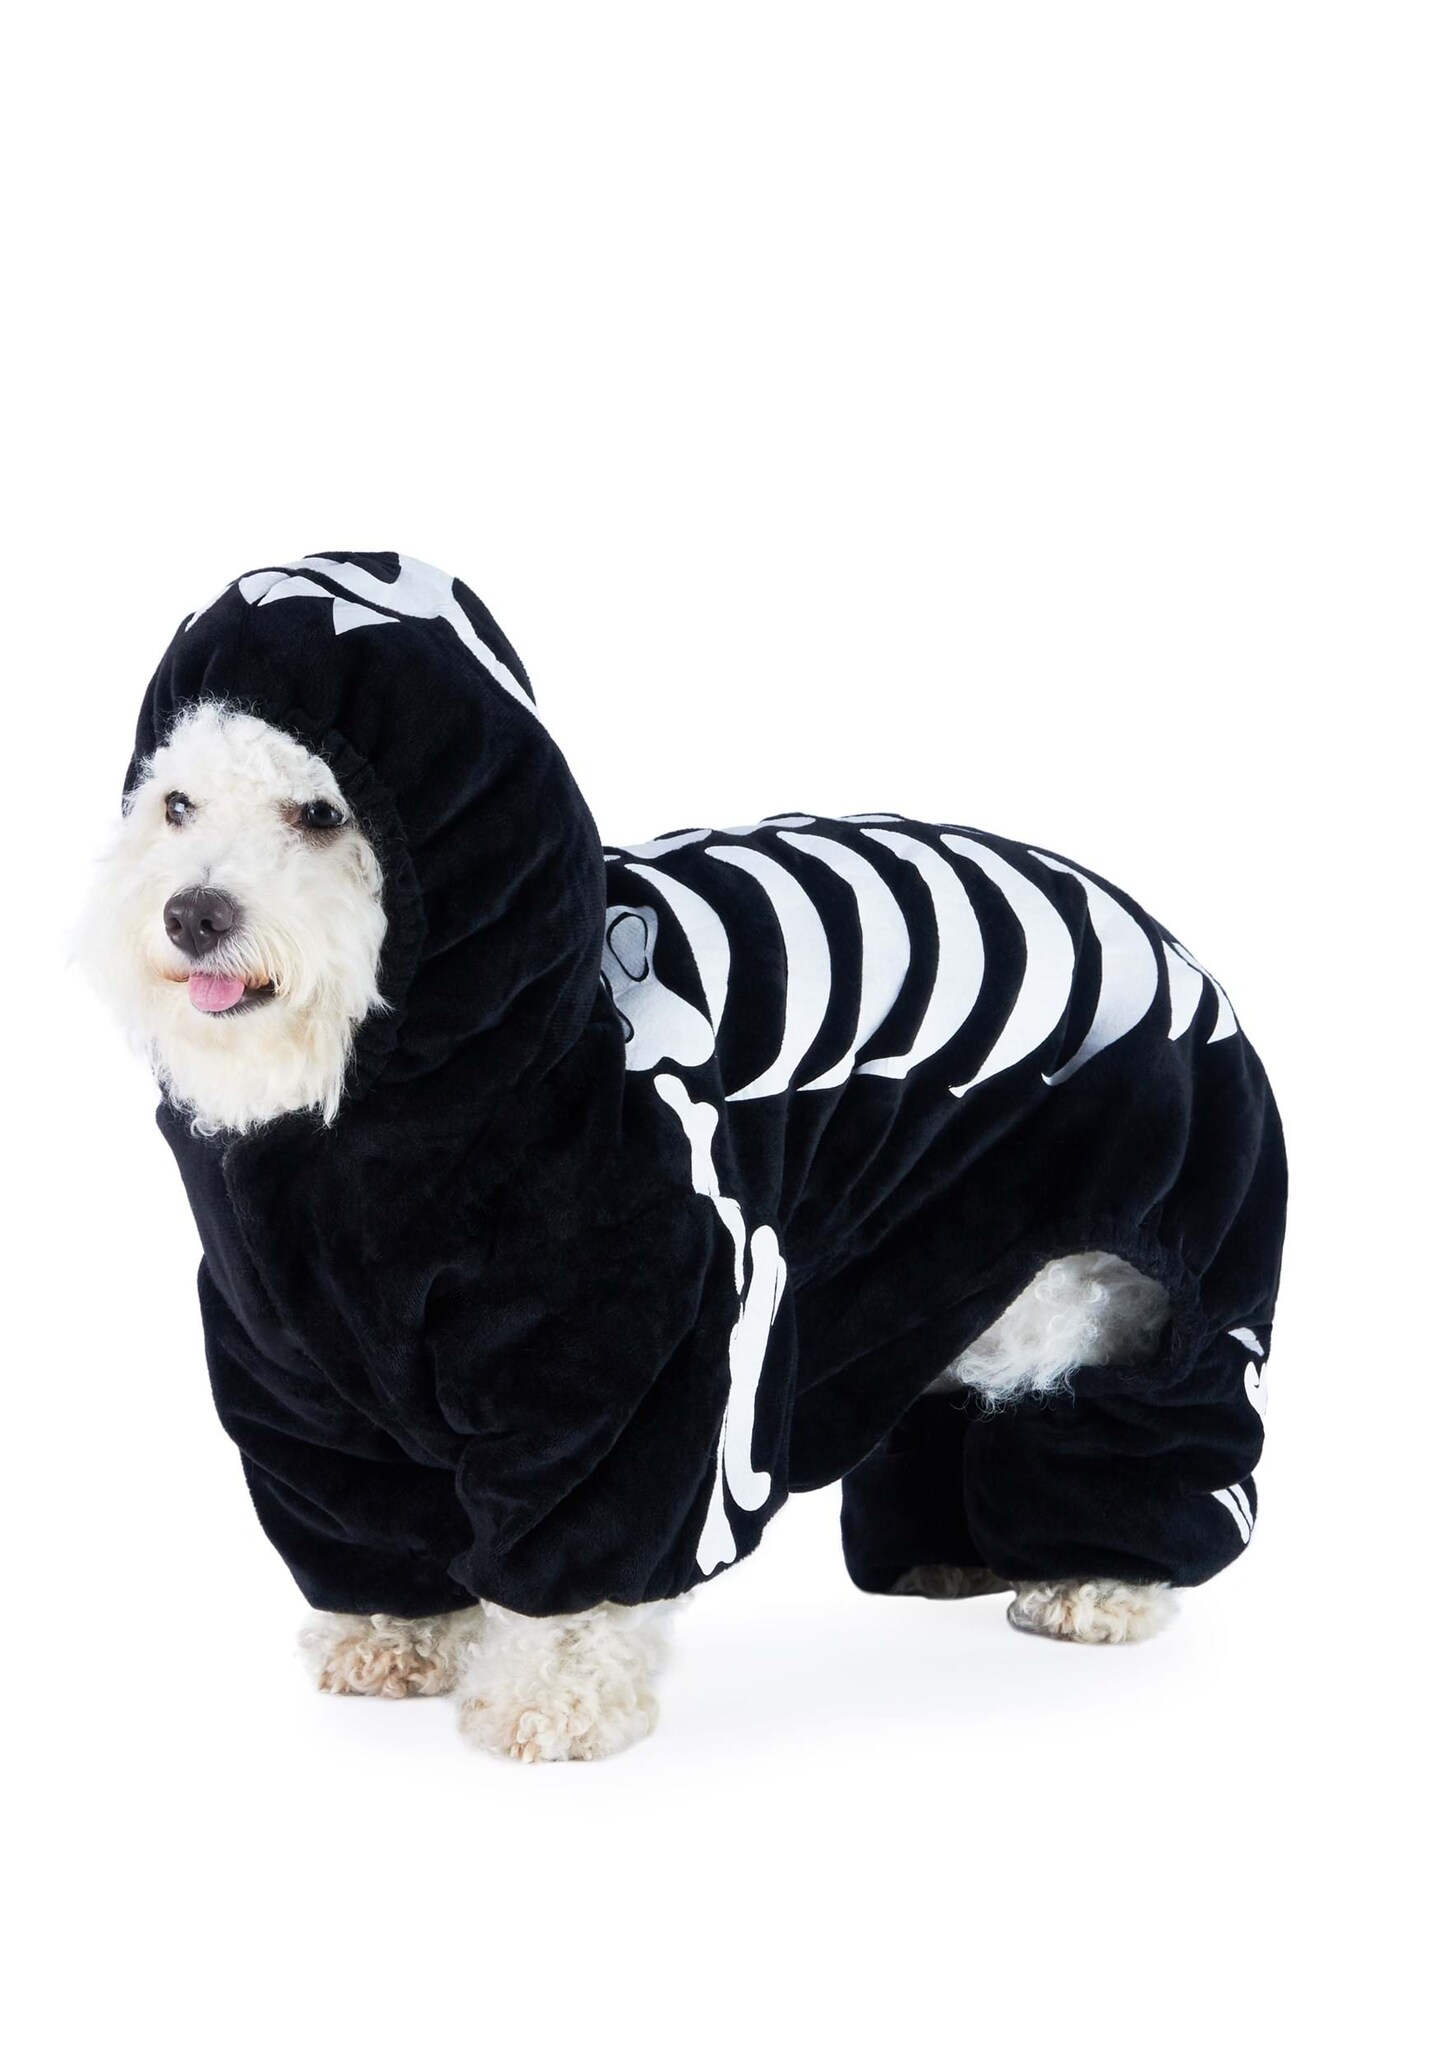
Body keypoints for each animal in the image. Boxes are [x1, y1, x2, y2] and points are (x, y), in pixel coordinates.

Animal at [80, 554, 1285, 1761]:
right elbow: (360, 1517)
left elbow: (584, 1552)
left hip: (1161, 1287)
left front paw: (551, 1696)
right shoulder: (299, 1374)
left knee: (1149, 1431)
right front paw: (396, 1636)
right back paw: (953, 1556)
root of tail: (1158, 933)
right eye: (176, 806)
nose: (193, 913)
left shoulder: (623, 1347)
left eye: (322, 813)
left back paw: (1102, 1579)